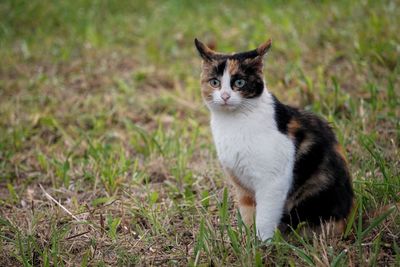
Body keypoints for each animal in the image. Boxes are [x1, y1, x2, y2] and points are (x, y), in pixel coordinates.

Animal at [194, 38, 354, 242]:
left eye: (239, 82)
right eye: (214, 82)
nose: (225, 96)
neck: (233, 122)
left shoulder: (273, 181)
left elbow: (265, 217)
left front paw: (262, 244)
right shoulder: (241, 184)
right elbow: (248, 213)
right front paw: (247, 241)